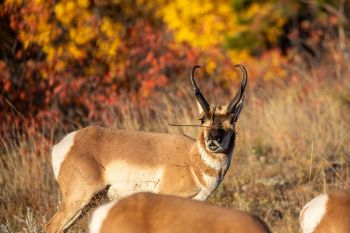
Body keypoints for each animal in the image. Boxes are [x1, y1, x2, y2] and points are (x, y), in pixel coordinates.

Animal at [45, 64, 249, 233]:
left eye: (232, 120)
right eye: (202, 119)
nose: (213, 140)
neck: (192, 159)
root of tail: (66, 143)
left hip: (85, 203)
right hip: (77, 200)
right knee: (51, 226)